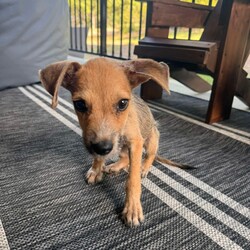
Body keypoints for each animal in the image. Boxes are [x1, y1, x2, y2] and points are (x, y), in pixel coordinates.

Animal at [40, 58, 190, 227]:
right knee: (124, 158)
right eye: (80, 104)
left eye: (123, 103)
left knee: (149, 156)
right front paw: (96, 170)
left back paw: (144, 167)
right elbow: (99, 158)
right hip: (122, 147)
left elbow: (132, 179)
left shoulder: (135, 142)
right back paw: (114, 166)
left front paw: (132, 208)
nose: (103, 148)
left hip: (152, 138)